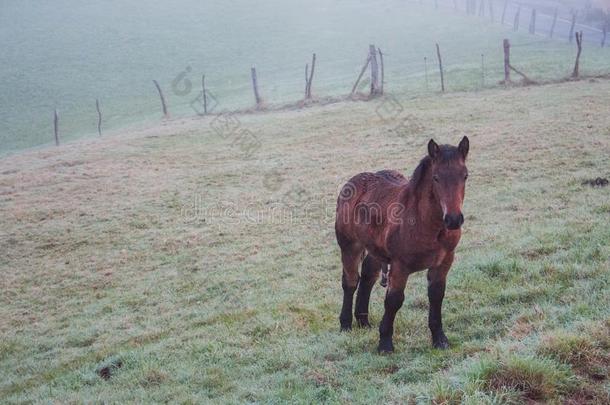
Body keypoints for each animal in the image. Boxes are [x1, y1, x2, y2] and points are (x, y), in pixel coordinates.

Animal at [334, 136, 468, 350]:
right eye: (436, 178)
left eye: (465, 176)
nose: (454, 220)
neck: (427, 224)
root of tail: (354, 180)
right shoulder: (400, 265)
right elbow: (394, 300)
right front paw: (385, 344)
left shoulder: (444, 261)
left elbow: (436, 295)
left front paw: (440, 339)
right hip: (349, 245)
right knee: (351, 281)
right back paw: (346, 325)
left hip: (375, 249)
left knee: (368, 276)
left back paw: (363, 321)